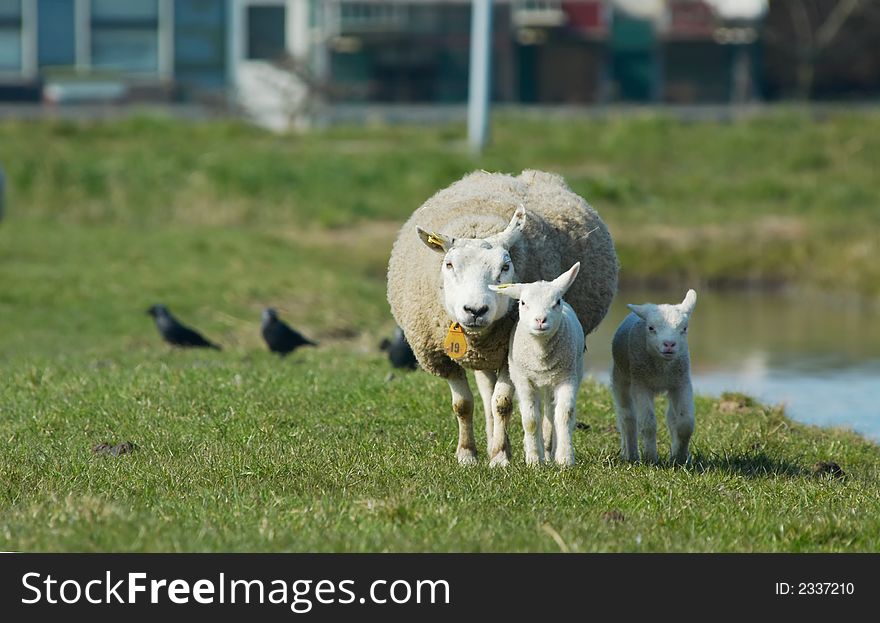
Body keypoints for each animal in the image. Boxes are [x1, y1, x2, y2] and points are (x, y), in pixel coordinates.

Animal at [492, 260, 588, 466]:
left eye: (557, 302)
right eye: (522, 303)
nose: (540, 320)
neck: (541, 356)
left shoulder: (567, 377)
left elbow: (564, 415)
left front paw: (565, 458)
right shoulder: (523, 380)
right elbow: (530, 420)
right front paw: (534, 460)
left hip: (565, 375)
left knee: (551, 413)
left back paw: (551, 452)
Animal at [608, 292, 696, 464]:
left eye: (684, 328)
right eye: (651, 328)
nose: (669, 344)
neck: (662, 368)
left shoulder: (681, 383)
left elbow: (685, 423)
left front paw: (679, 458)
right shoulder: (641, 385)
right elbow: (647, 423)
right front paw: (651, 459)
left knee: (671, 417)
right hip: (621, 377)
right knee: (627, 417)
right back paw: (631, 455)